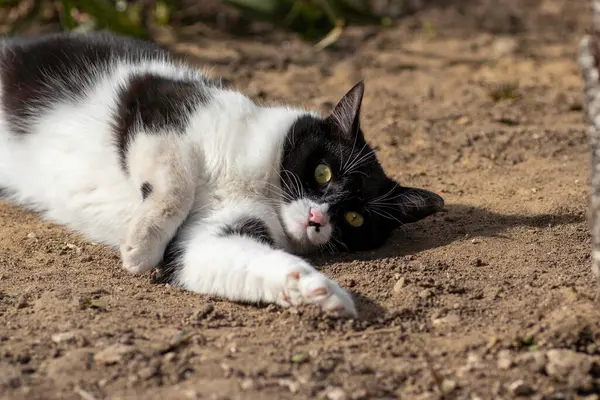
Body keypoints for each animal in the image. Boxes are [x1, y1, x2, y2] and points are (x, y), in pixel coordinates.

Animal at [0, 32, 442, 316]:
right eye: (322, 172)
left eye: (354, 217)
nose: (317, 218)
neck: (258, 187)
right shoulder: (157, 102)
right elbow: (176, 184)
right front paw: (141, 247)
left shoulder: (211, 237)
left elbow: (236, 260)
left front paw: (318, 292)